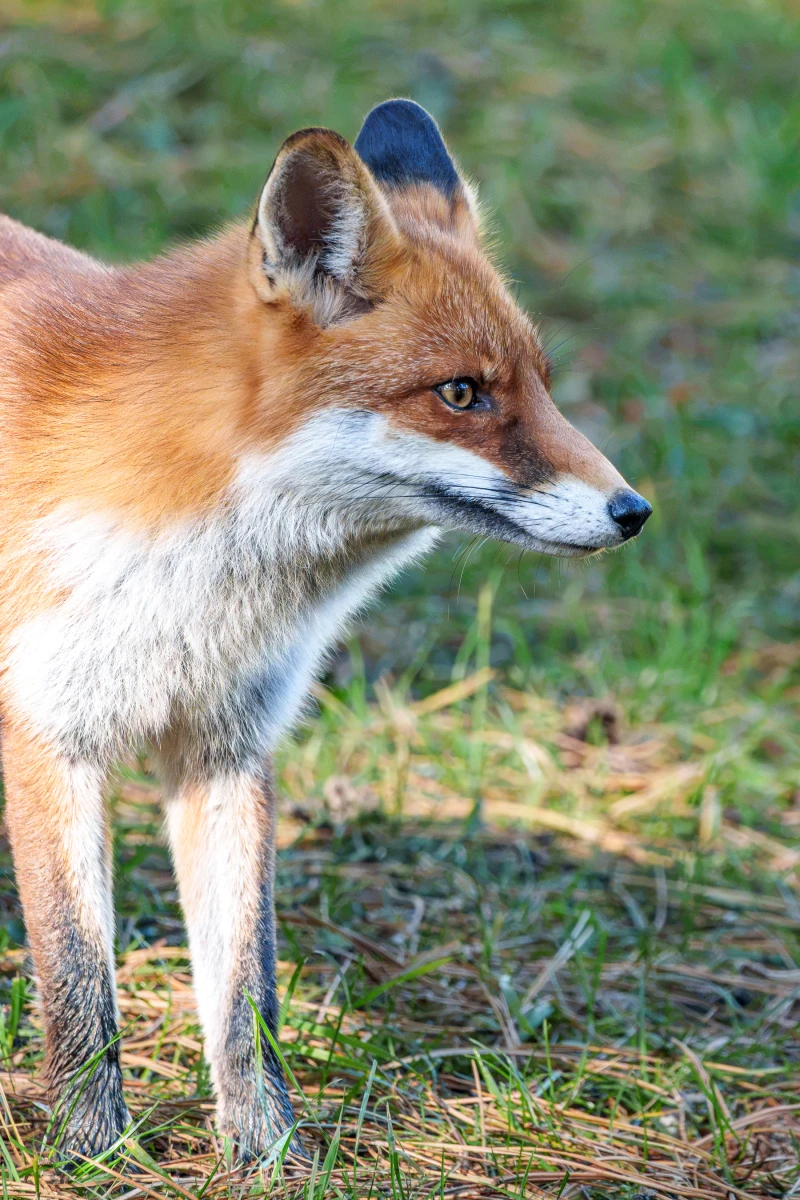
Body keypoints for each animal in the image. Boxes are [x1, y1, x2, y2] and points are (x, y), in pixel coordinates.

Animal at [0, 99, 651, 1162]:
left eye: (543, 385)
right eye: (462, 393)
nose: (634, 512)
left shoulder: (227, 746)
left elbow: (245, 994)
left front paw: (268, 1153)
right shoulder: (51, 736)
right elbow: (80, 983)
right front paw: (91, 1153)